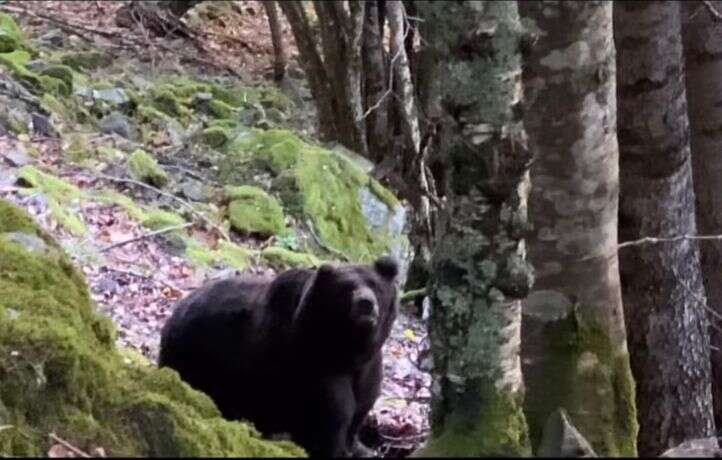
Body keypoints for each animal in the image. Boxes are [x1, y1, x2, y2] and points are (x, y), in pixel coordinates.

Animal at [157, 255, 400, 456]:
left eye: (374, 284)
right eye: (346, 288)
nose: (365, 303)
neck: (349, 349)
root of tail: (178, 308)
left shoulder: (368, 370)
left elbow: (360, 408)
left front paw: (360, 447)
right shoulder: (315, 366)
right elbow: (330, 417)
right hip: (199, 357)